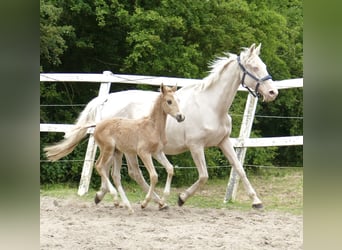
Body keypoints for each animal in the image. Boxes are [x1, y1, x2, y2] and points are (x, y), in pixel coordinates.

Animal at [91, 84, 184, 213]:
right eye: (169, 101)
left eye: (179, 100)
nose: (181, 116)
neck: (153, 127)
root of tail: (97, 126)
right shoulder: (143, 153)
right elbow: (154, 176)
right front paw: (145, 203)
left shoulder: (157, 152)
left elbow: (170, 169)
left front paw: (162, 201)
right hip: (108, 149)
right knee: (99, 166)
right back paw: (116, 199)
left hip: (117, 152)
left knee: (115, 175)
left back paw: (127, 206)